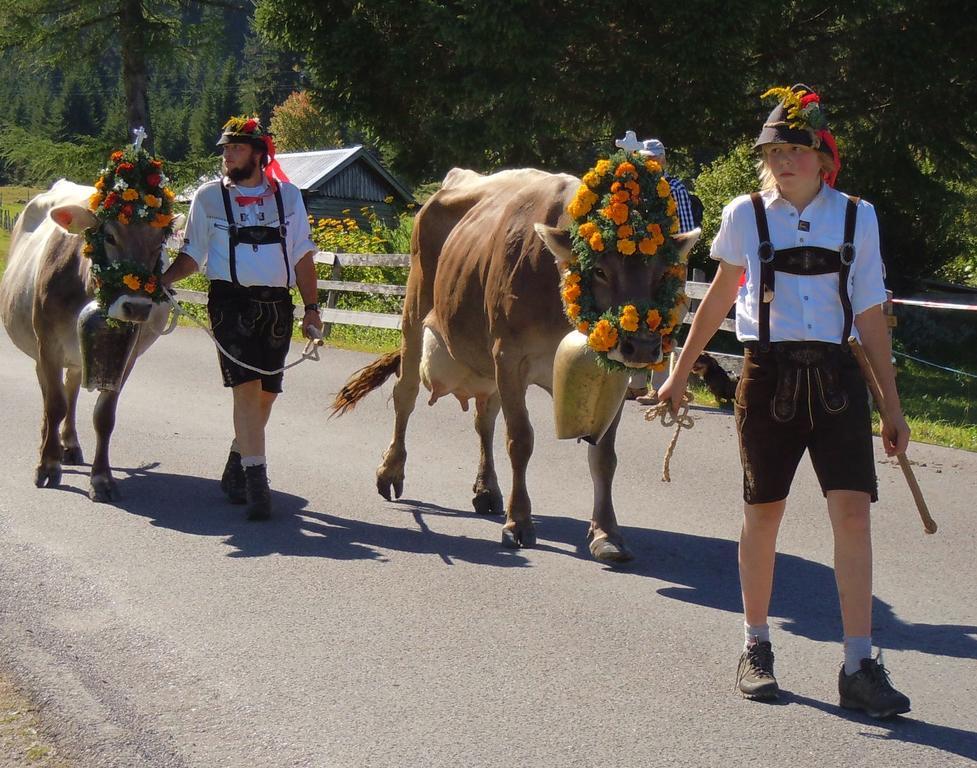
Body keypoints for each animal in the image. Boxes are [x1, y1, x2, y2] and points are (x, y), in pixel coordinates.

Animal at [0, 182, 180, 504]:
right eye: (109, 236)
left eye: (160, 241)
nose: (136, 307)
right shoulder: (48, 345)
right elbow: (54, 405)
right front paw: (47, 465)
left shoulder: (127, 354)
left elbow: (104, 416)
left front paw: (102, 478)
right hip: (39, 349)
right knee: (49, 394)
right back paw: (48, 442)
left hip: (76, 357)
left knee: (71, 388)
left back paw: (69, 444)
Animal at [336, 168, 700, 560]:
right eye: (600, 270)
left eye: (663, 273)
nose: (644, 345)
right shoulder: (509, 357)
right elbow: (520, 440)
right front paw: (520, 523)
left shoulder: (610, 374)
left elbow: (604, 455)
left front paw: (607, 533)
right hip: (415, 310)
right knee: (406, 393)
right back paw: (390, 471)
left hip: (483, 360)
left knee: (484, 418)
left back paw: (487, 490)